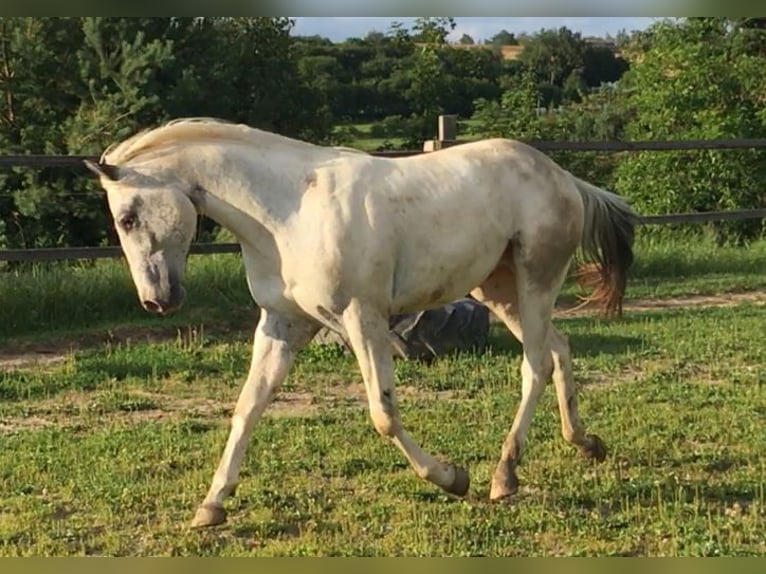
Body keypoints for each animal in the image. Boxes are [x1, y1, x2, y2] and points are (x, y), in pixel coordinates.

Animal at [84, 118, 640, 532]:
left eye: (128, 218)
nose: (157, 301)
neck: (288, 213)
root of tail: (563, 177)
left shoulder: (362, 317)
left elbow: (383, 413)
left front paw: (451, 478)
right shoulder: (282, 323)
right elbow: (248, 407)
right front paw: (211, 506)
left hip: (534, 281)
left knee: (536, 365)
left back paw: (504, 477)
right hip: (499, 290)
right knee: (559, 348)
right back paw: (584, 443)